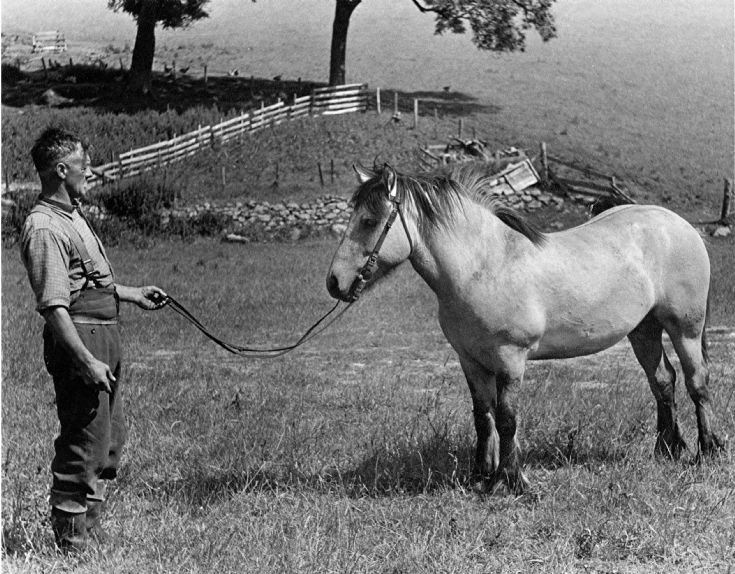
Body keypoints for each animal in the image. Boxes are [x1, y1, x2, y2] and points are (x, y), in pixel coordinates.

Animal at [326, 162, 725, 494]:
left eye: (369, 221)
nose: (334, 283)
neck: (484, 265)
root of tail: (679, 225)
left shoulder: (510, 359)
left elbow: (506, 419)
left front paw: (511, 480)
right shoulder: (471, 361)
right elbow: (482, 417)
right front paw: (481, 476)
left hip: (685, 328)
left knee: (696, 382)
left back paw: (706, 451)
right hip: (643, 329)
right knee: (663, 381)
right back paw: (667, 450)